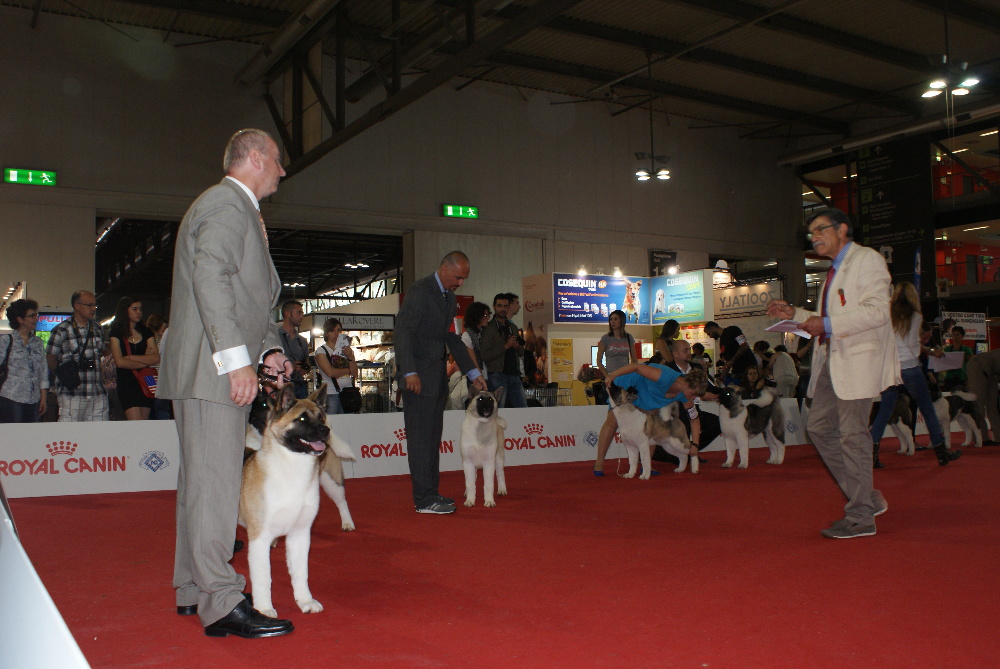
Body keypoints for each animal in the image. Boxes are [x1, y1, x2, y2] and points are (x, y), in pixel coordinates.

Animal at [239, 384, 356, 618]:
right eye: (301, 419)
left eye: (320, 417)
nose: (325, 430)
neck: (292, 469)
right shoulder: (259, 538)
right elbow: (263, 577)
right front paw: (264, 609)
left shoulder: (300, 534)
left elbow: (301, 573)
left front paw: (305, 601)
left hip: (331, 480)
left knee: (342, 502)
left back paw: (347, 522)